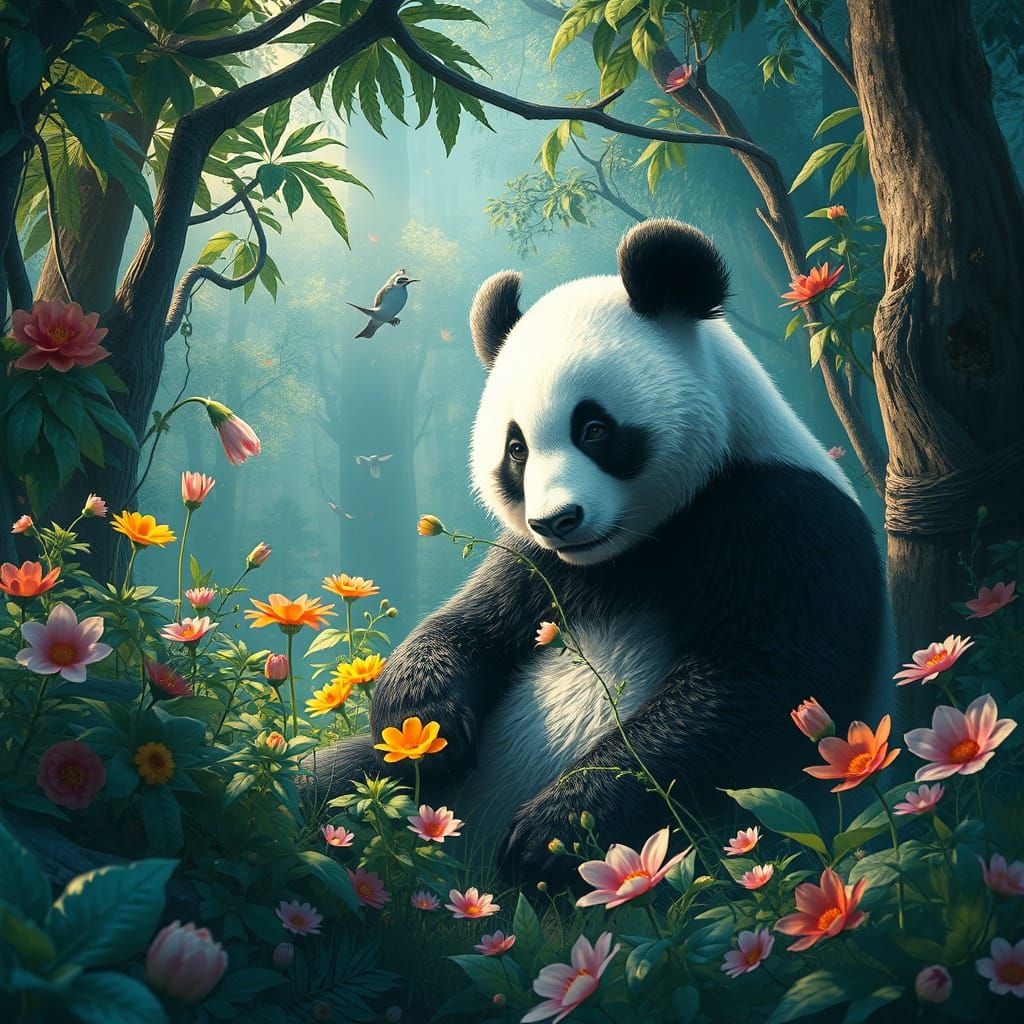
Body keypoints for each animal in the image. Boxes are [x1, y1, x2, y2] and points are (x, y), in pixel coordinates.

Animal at [322, 219, 892, 885]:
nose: (558, 521)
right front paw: (425, 729)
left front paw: (553, 831)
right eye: (516, 448)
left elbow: (765, 684)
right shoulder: (536, 562)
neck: (633, 548)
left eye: (594, 429)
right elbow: (472, 623)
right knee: (328, 781)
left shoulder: (786, 520)